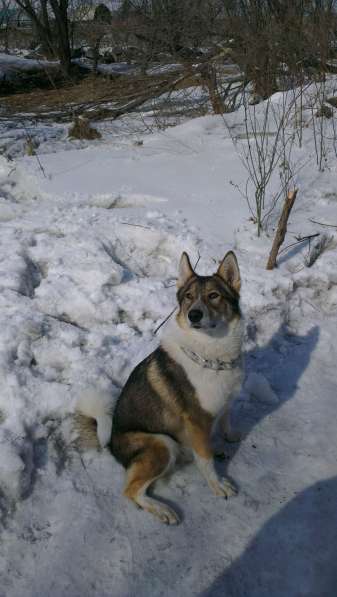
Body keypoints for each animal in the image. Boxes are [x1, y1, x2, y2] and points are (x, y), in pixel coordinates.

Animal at [76, 249, 243, 524]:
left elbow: (226, 417)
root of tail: (110, 442)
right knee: (131, 491)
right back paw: (162, 509)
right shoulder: (197, 420)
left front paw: (228, 436)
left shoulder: (226, 400)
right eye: (188, 297)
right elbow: (206, 461)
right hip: (162, 444)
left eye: (214, 295)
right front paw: (217, 485)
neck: (211, 355)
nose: (194, 315)